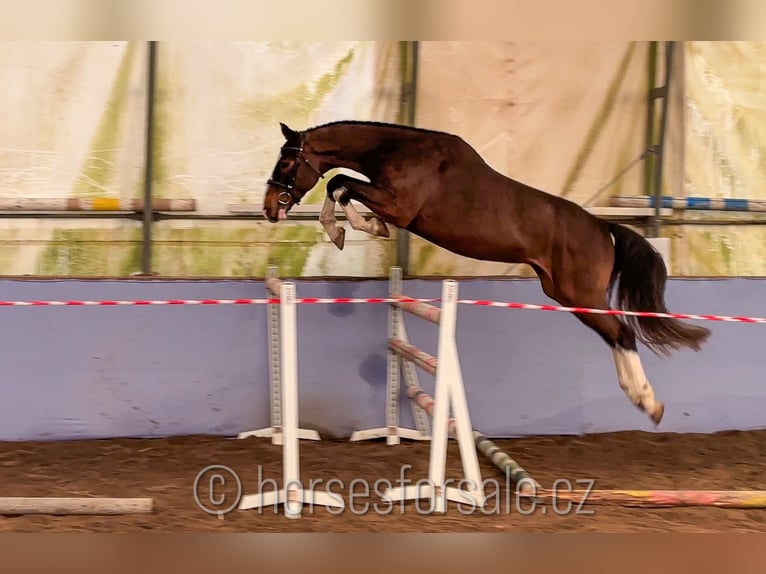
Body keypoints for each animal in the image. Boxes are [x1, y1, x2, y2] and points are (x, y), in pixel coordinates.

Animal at [264, 122, 712, 428]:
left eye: (286, 161)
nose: (269, 207)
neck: (399, 150)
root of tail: (605, 229)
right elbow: (338, 186)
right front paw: (342, 231)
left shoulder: (398, 205)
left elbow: (340, 184)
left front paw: (358, 228)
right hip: (566, 296)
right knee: (615, 335)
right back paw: (641, 400)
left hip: (580, 293)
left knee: (623, 333)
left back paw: (649, 403)